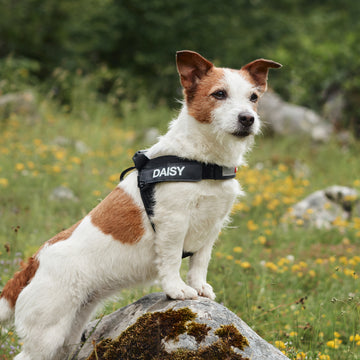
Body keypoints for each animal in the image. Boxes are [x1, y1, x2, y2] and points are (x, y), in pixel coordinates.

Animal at [0, 51, 282, 360]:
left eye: (254, 97)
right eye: (219, 94)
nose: (248, 118)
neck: (203, 162)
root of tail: (33, 263)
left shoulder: (212, 226)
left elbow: (200, 262)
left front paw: (198, 287)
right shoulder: (173, 223)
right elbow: (171, 260)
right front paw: (176, 289)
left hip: (70, 331)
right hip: (47, 334)